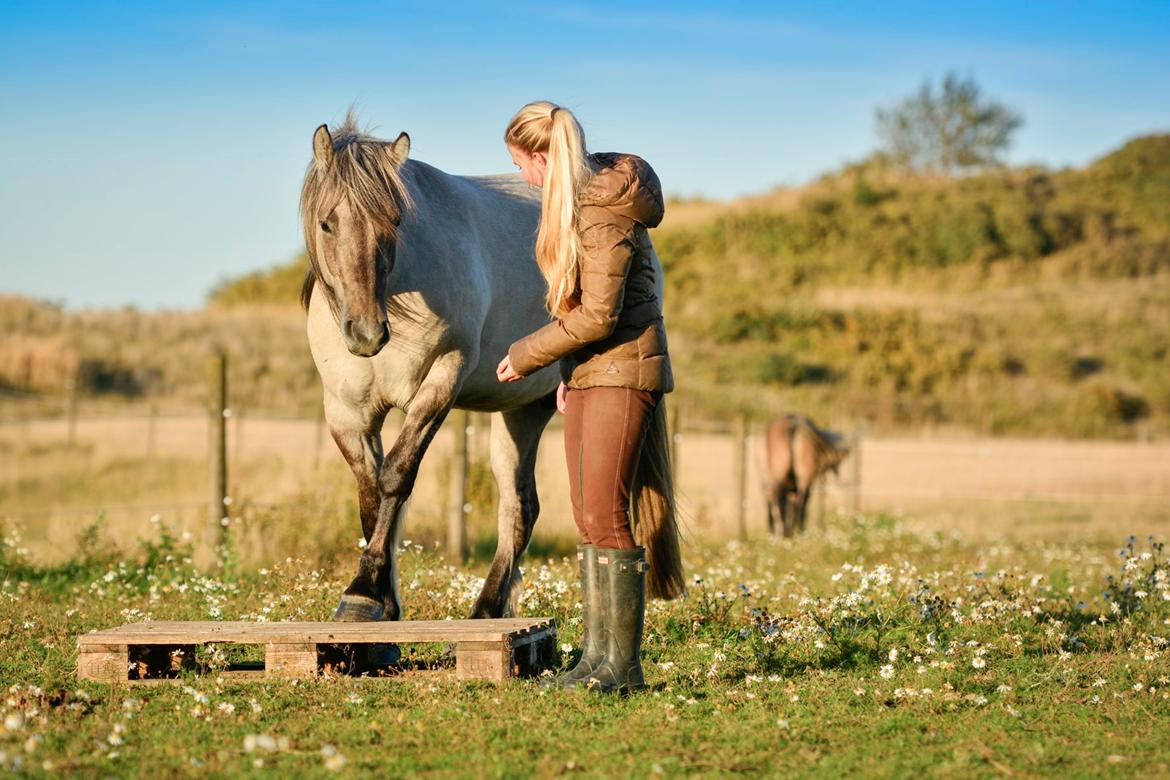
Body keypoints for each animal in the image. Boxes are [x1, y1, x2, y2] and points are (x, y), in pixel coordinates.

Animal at [301, 112, 683, 626]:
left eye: (396, 221)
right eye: (327, 224)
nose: (366, 333)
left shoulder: (442, 380)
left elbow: (396, 477)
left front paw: (363, 594)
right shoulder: (346, 411)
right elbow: (370, 496)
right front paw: (379, 600)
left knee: (520, 510)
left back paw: (485, 608)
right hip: (519, 412)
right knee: (521, 506)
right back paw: (493, 605)